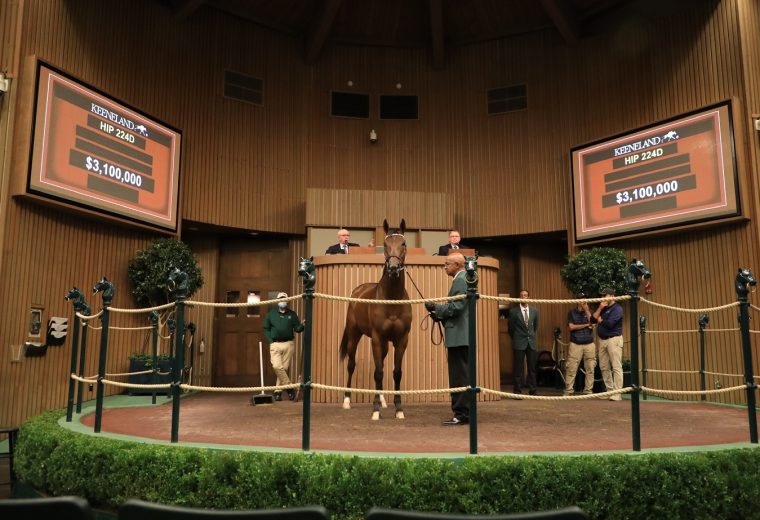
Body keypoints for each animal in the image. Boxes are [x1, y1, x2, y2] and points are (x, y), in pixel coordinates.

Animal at [340, 218, 412, 418]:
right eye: (386, 245)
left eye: (403, 243)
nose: (393, 268)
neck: (392, 300)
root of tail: (357, 290)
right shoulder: (377, 338)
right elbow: (378, 373)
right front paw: (375, 410)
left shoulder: (401, 340)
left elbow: (396, 372)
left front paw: (398, 409)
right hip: (354, 335)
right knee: (351, 364)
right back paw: (347, 400)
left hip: (385, 344)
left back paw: (382, 400)